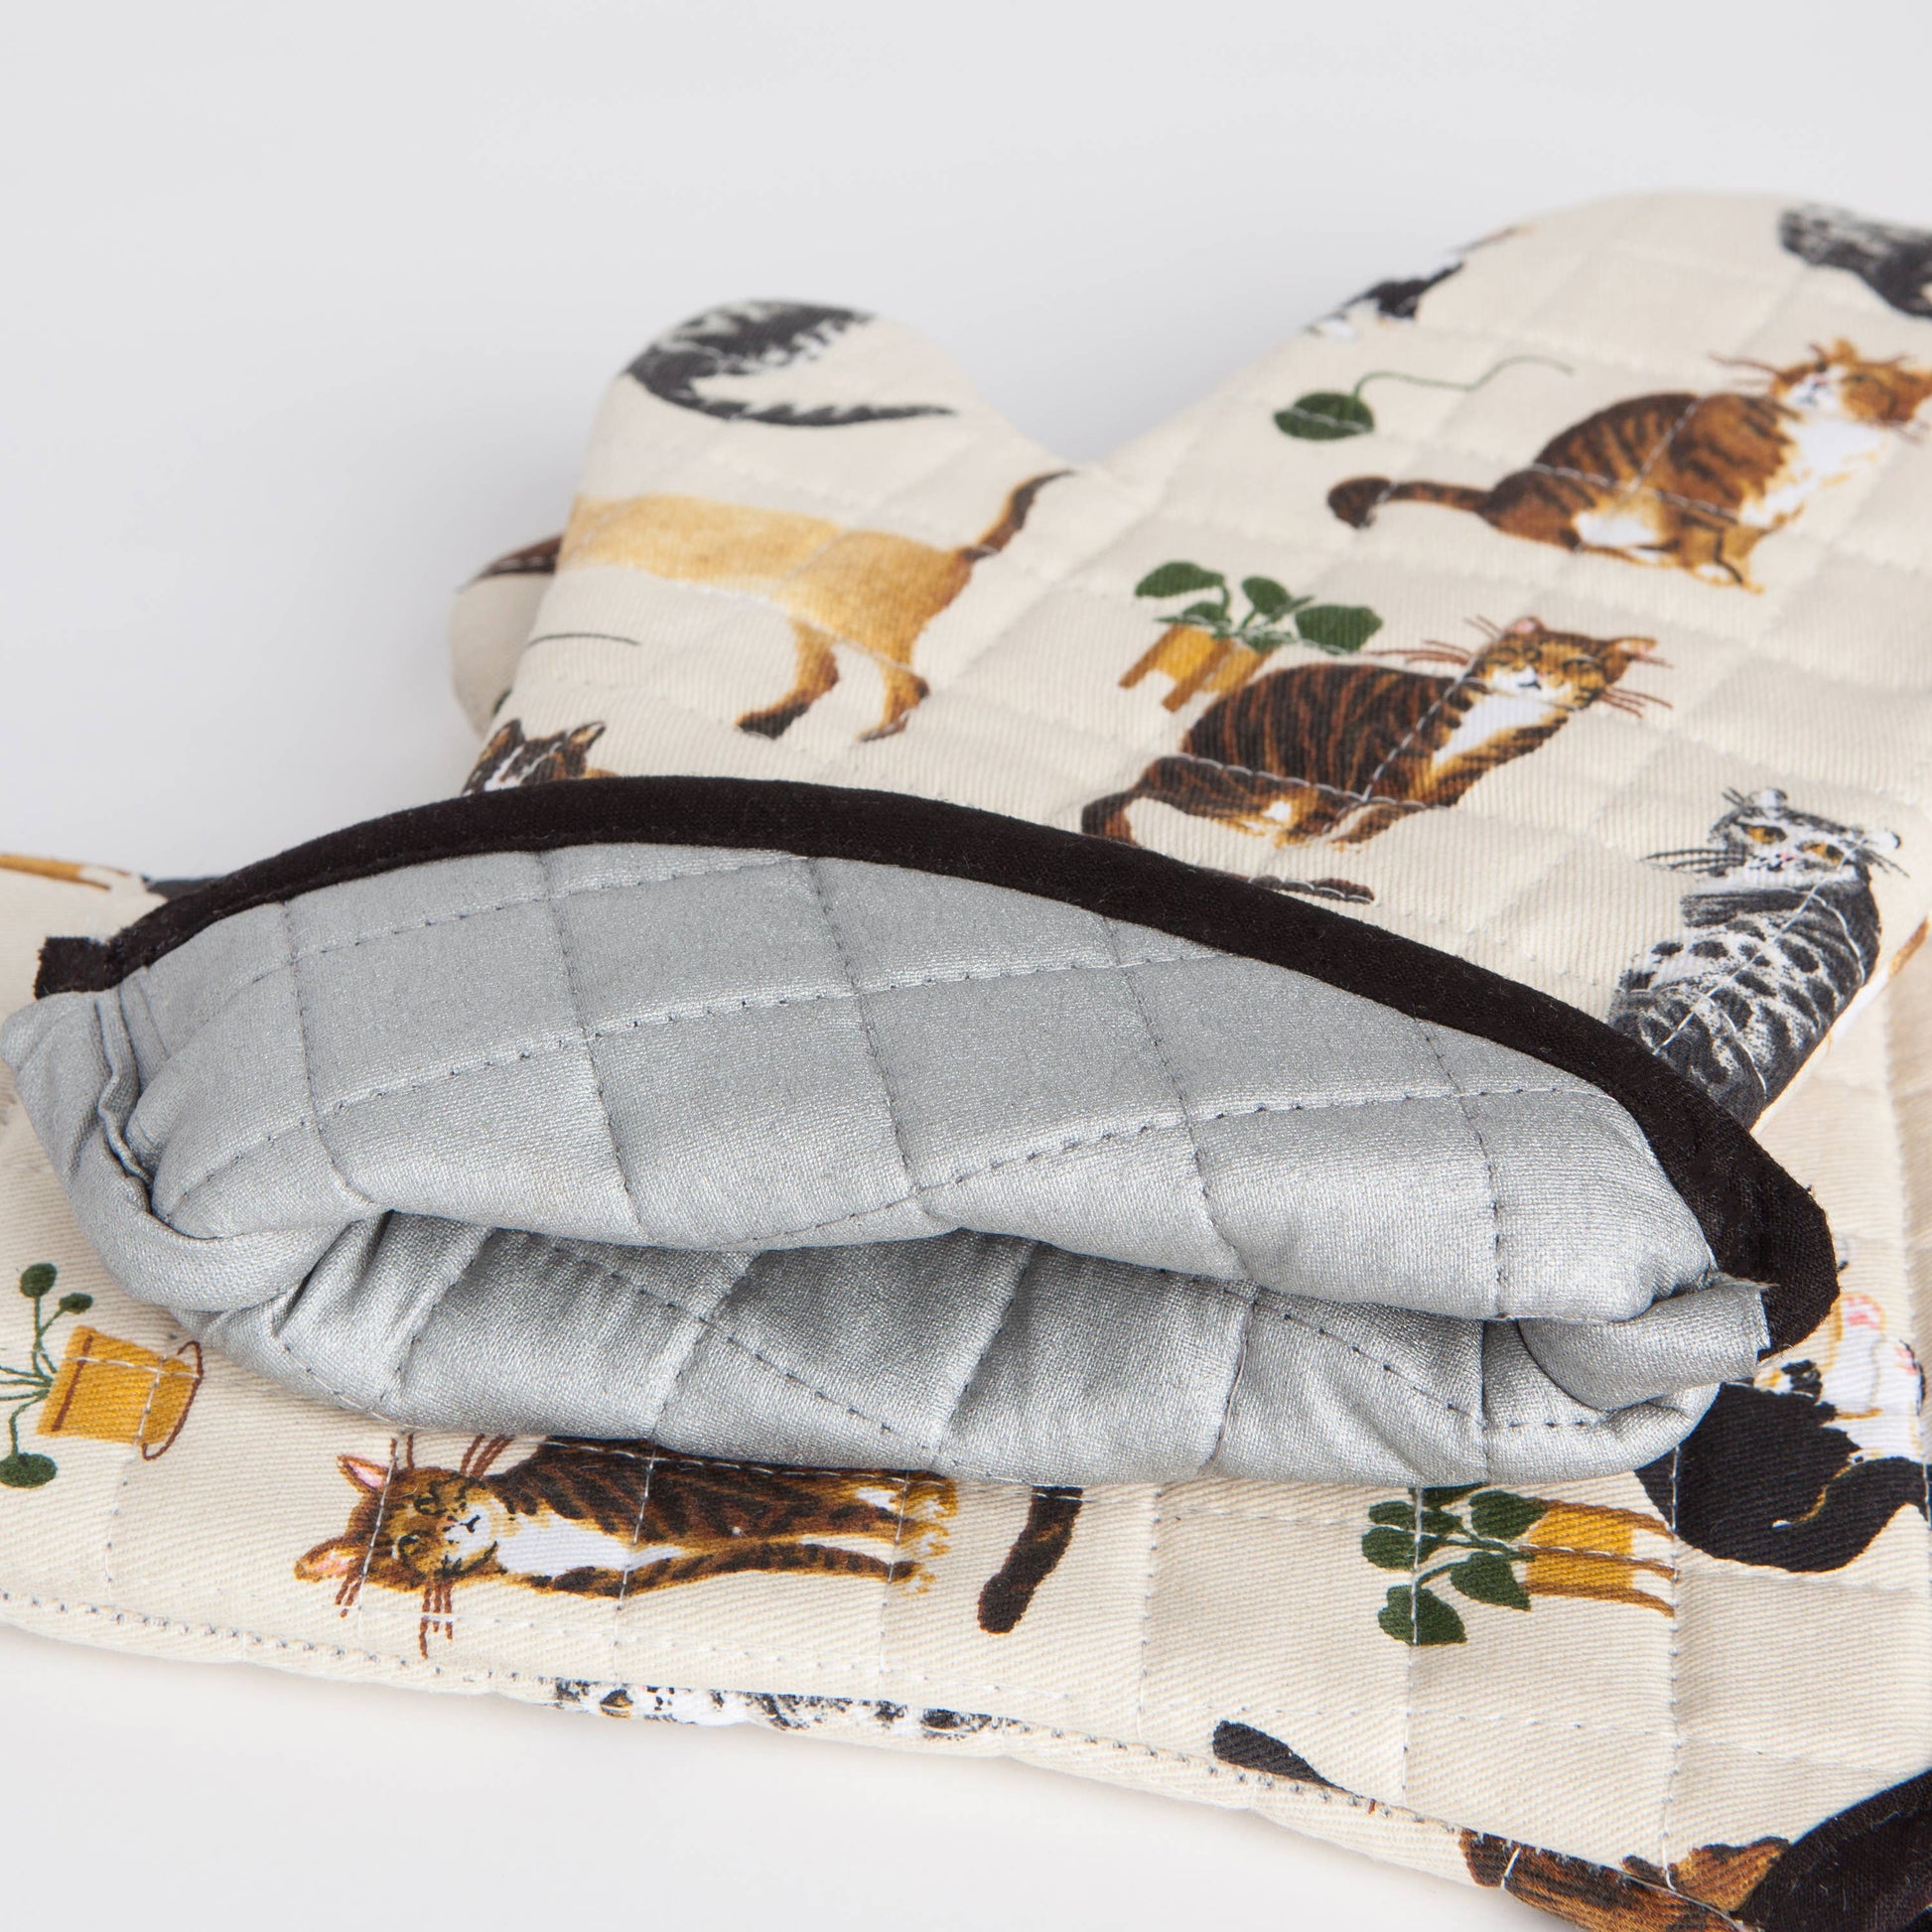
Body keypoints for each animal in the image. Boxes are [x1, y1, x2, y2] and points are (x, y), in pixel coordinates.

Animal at [296, 1435, 957, 1658]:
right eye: (408, 1545)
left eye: (429, 1502)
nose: (458, 1526)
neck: (528, 1539)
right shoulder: (658, 1567)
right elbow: (826, 1550)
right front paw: (904, 1565)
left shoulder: (707, 1506)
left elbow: (850, 1517)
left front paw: (915, 1537)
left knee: (837, 1487)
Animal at [560, 472, 1066, 740]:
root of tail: (956, 553)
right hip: (811, 616)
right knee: (828, 679)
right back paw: (765, 724)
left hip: (859, 622)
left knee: (911, 685)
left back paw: (874, 733)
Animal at [1083, 616, 1663, 850]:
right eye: (1528, 649)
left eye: (1582, 661)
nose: (1538, 673)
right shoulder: (1364, 755)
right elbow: (1335, 807)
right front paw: (1306, 842)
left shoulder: (1440, 790)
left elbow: (1378, 822)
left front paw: (1341, 847)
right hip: (1246, 770)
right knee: (1189, 797)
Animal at [1328, 339, 1932, 587]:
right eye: (1817, 364)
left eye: (1863, 380)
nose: (1819, 381)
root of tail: (1497, 493)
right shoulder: (1707, 485)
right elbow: (1703, 538)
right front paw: (1712, 572)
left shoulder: (1774, 512)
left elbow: (1740, 545)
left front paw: (1742, 578)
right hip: (1583, 498)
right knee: (1575, 542)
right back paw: (1646, 557)